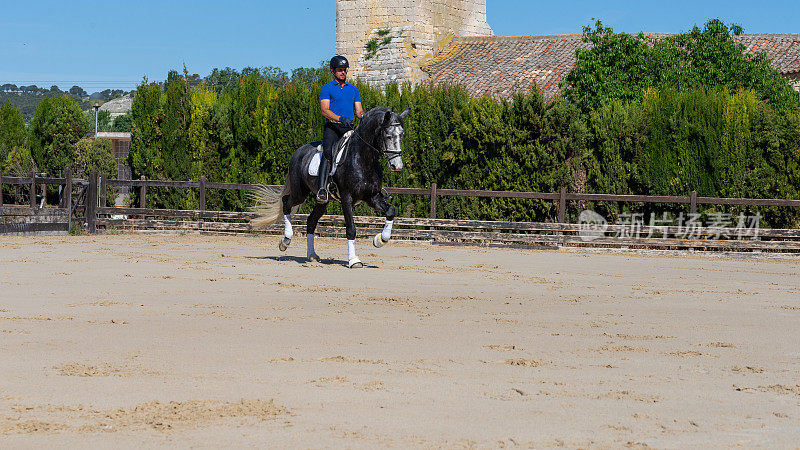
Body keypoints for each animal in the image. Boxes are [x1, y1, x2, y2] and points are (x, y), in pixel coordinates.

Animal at [252, 105, 412, 268]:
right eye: (388, 135)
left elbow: (391, 211)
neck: (362, 159)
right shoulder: (347, 198)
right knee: (286, 202)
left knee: (311, 221)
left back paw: (312, 255)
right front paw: (354, 260)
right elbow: (351, 229)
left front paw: (380, 240)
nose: (397, 166)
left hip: (322, 201)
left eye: (401, 135)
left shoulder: (372, 197)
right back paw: (285, 240)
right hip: (300, 193)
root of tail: (298, 152)